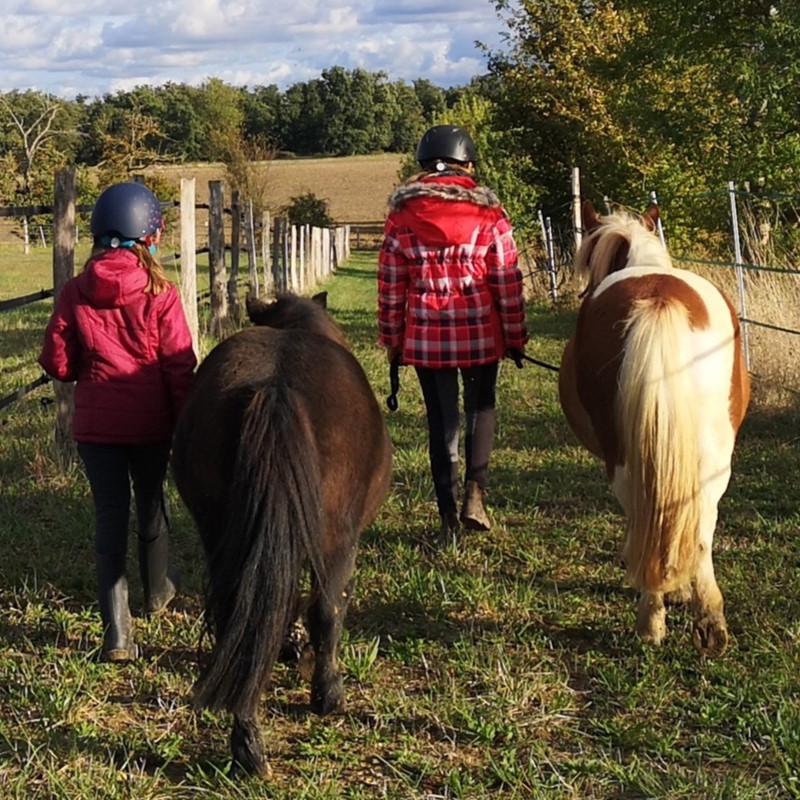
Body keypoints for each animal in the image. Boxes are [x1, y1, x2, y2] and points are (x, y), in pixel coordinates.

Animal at [173, 292, 394, 776]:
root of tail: (274, 387)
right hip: (337, 542)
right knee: (326, 610)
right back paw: (327, 694)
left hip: (220, 534)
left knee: (238, 618)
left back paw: (247, 740)